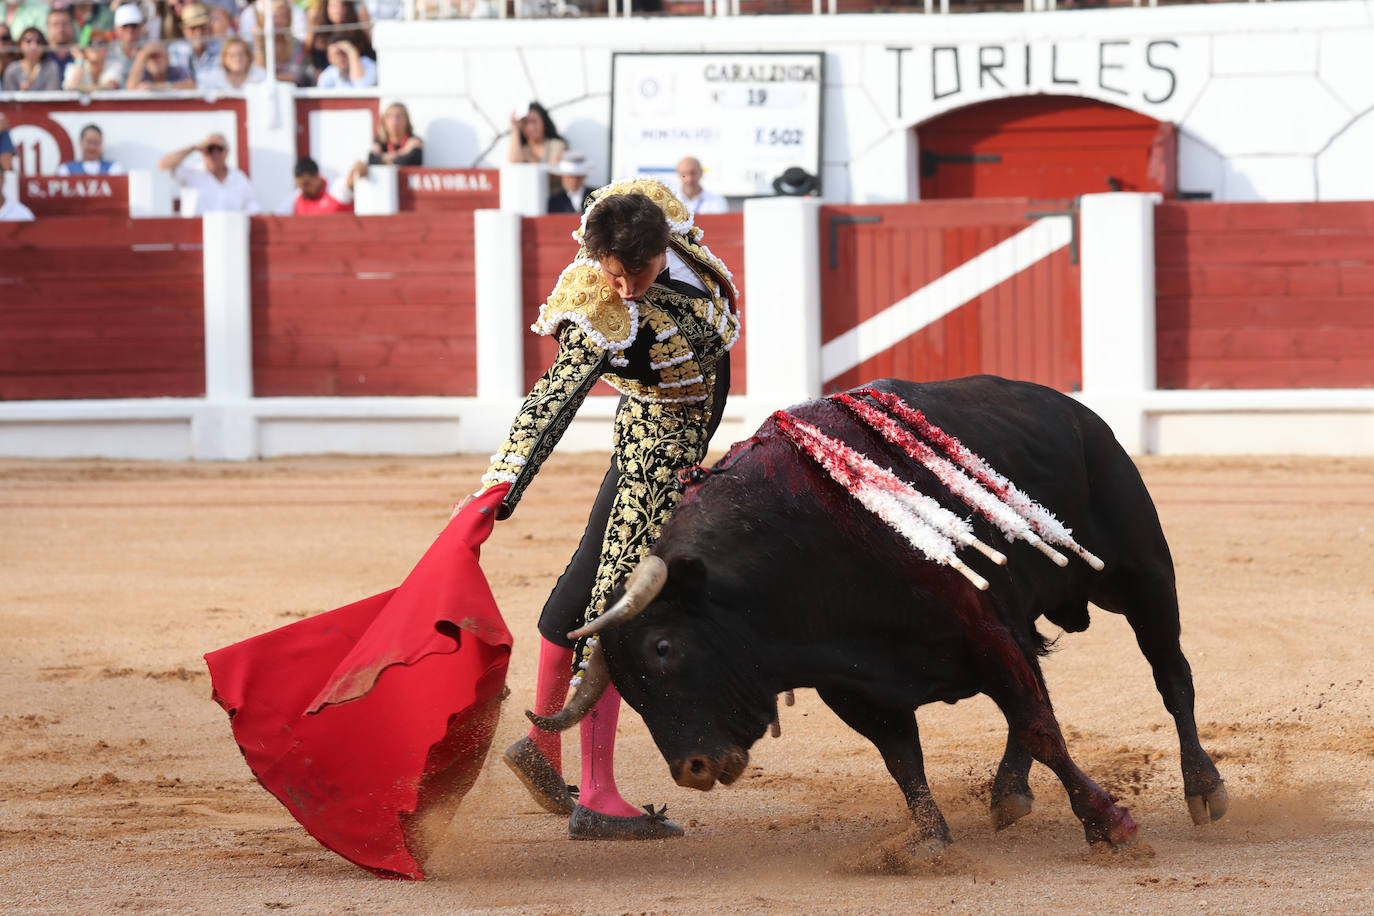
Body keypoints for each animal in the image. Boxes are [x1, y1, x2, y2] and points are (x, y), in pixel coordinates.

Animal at [533, 376, 1225, 851]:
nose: (692, 770)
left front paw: (1110, 822)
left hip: (1141, 575)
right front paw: (931, 841)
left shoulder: (982, 629)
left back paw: (1203, 789)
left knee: (1171, 676)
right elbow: (903, 757)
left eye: (663, 648)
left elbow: (1038, 726)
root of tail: (1076, 411)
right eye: (626, 689)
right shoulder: (854, 684)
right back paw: (1008, 794)